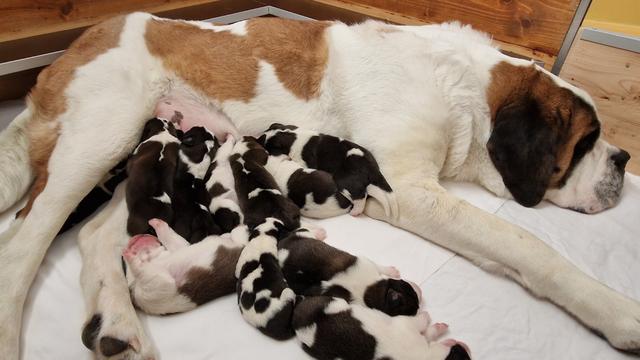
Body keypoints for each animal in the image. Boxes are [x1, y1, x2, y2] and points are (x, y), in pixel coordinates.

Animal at [258, 124, 398, 217]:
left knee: (360, 196)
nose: (256, 138)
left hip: (343, 179)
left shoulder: (302, 161)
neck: (291, 136)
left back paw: (355, 212)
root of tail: (372, 167)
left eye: (265, 144)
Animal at [278, 233, 420, 316]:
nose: (419, 307)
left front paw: (391, 272)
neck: (371, 287)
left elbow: (379, 267)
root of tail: (280, 248)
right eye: (412, 306)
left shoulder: (368, 264)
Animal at [292, 296, 470, 360]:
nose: (467, 347)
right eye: (461, 354)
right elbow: (420, 323)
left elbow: (429, 334)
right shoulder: (406, 325)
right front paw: (427, 317)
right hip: (336, 302)